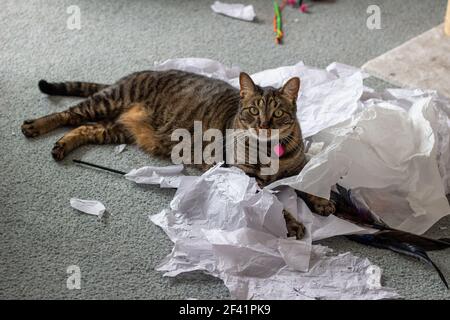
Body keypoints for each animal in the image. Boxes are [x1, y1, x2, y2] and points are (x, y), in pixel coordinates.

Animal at [22, 70, 336, 240]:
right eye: (253, 111)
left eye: (278, 113)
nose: (264, 125)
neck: (270, 150)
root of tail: (133, 74)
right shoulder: (241, 176)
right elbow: (274, 203)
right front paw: (292, 222)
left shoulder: (300, 164)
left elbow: (310, 181)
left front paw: (321, 201)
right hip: (106, 102)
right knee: (66, 114)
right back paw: (36, 126)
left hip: (115, 128)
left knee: (84, 127)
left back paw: (61, 145)